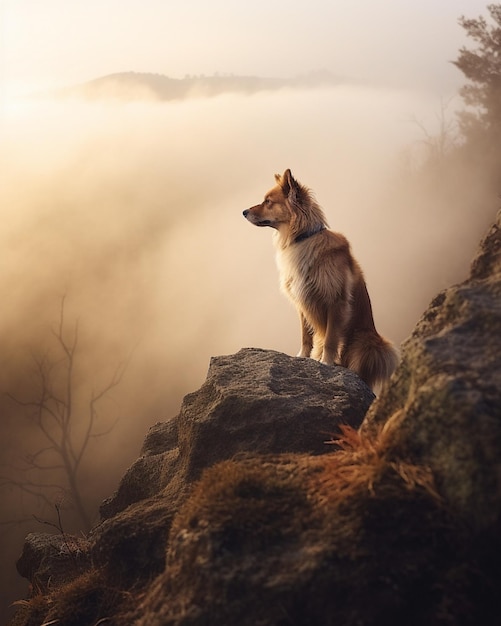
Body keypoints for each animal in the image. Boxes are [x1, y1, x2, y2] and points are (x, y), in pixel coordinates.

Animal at [243, 168, 398, 388]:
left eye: (268, 202)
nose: (243, 211)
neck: (303, 238)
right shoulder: (302, 300)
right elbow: (305, 335)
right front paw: (303, 356)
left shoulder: (336, 301)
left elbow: (331, 338)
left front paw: (326, 362)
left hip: (367, 343)